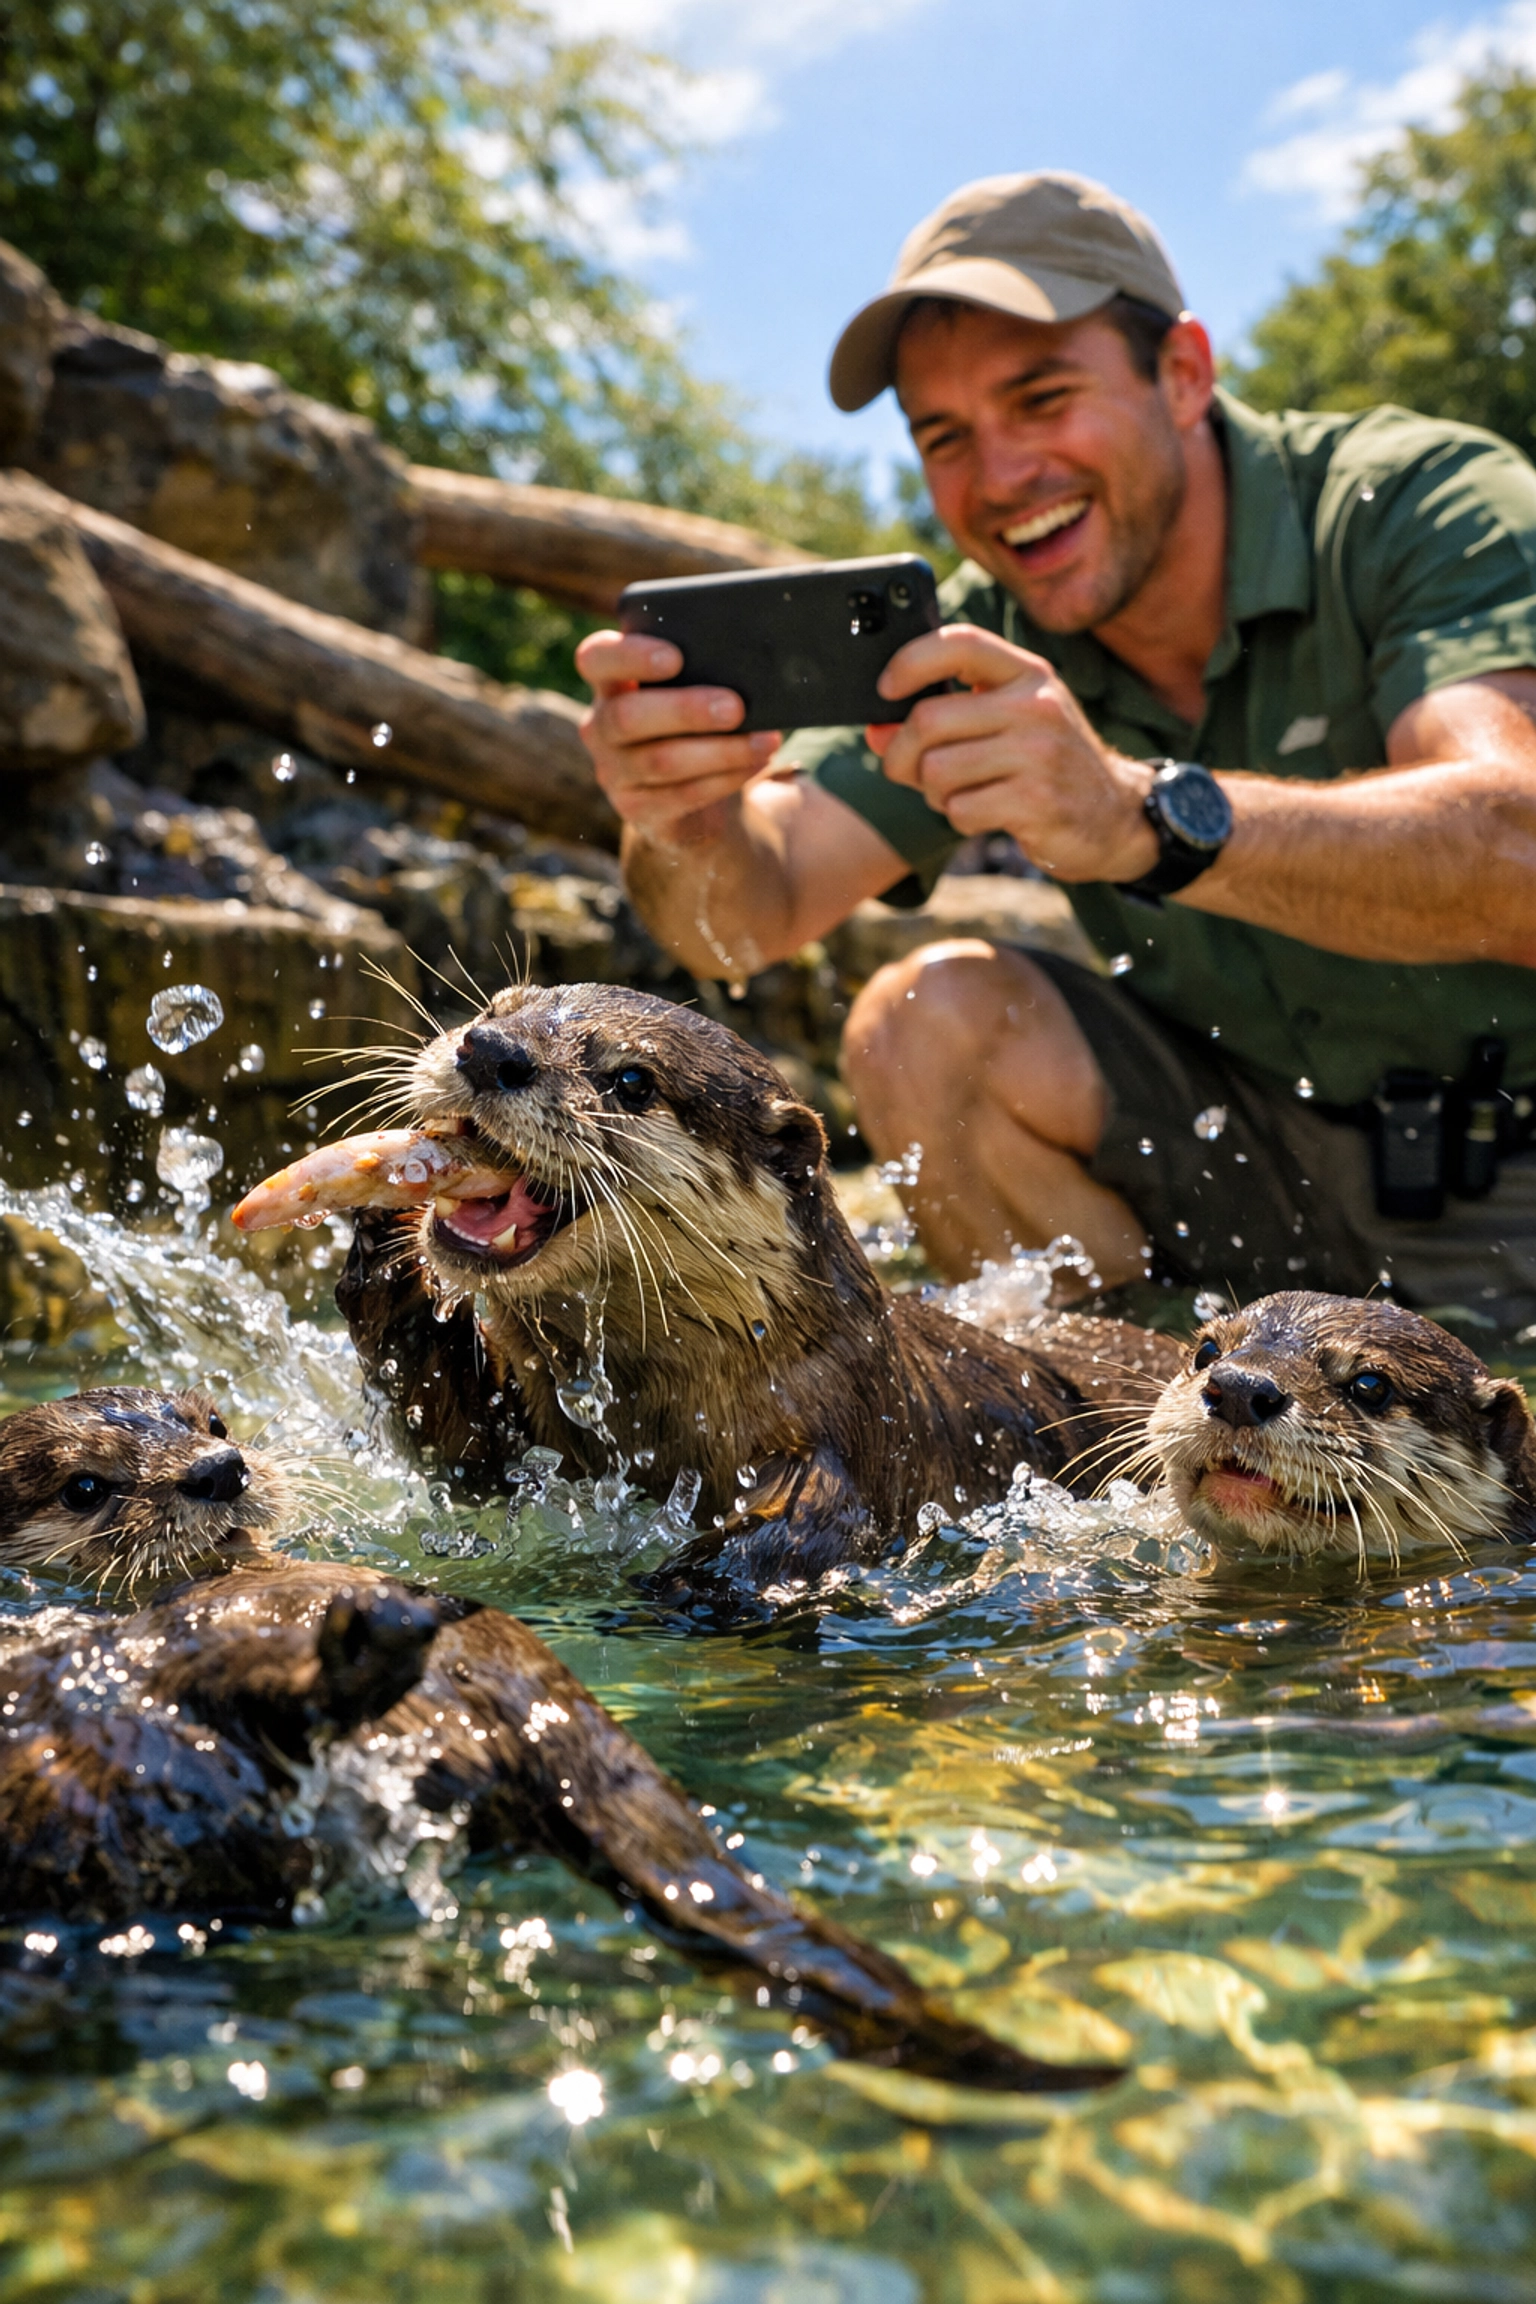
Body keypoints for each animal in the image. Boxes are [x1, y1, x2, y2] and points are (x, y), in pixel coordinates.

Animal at [236, 983, 1182, 1614]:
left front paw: (681, 1585)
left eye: (632, 1082)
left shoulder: (858, 1434)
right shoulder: (523, 1442)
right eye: (499, 1005)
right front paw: (386, 1233)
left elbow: (809, 1528)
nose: (489, 1050)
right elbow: (457, 1444)